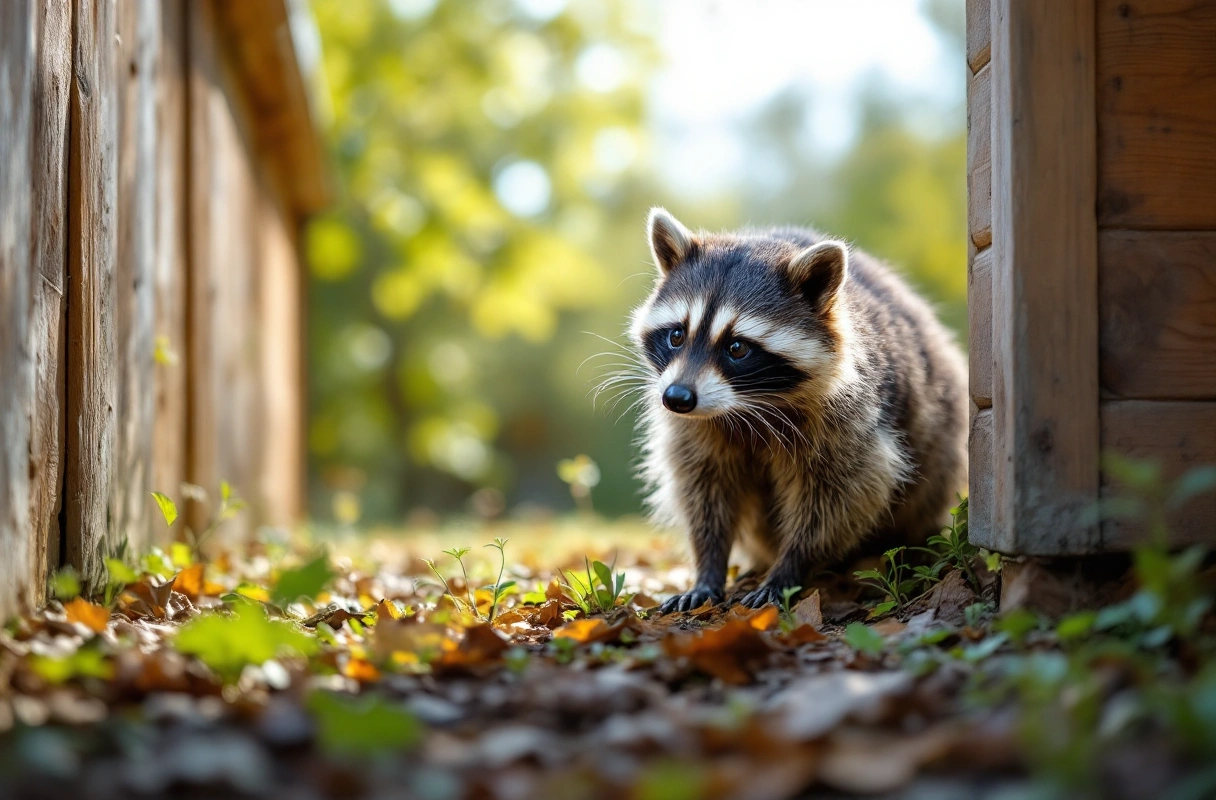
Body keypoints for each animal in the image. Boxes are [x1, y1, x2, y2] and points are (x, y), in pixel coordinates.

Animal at [626, 208, 968, 612]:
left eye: (737, 347)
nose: (677, 398)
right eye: (677, 335)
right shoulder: (695, 427)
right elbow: (704, 488)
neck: (746, 406)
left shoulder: (849, 419)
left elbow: (840, 497)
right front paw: (709, 565)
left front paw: (791, 567)